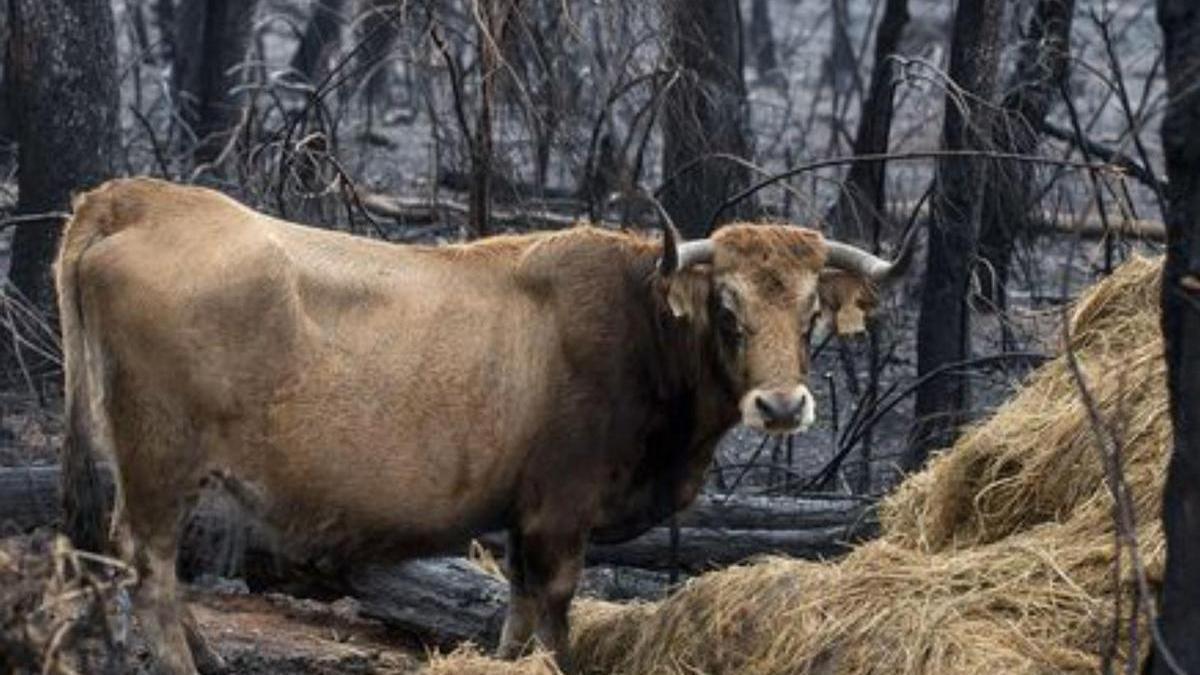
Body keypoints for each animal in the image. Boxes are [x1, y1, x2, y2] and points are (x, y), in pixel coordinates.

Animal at [55, 178, 912, 674]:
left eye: (811, 311)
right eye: (727, 310)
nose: (782, 406)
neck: (639, 326)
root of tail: (137, 197)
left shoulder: (522, 517)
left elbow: (519, 611)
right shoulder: (561, 513)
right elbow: (556, 612)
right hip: (159, 462)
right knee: (150, 566)